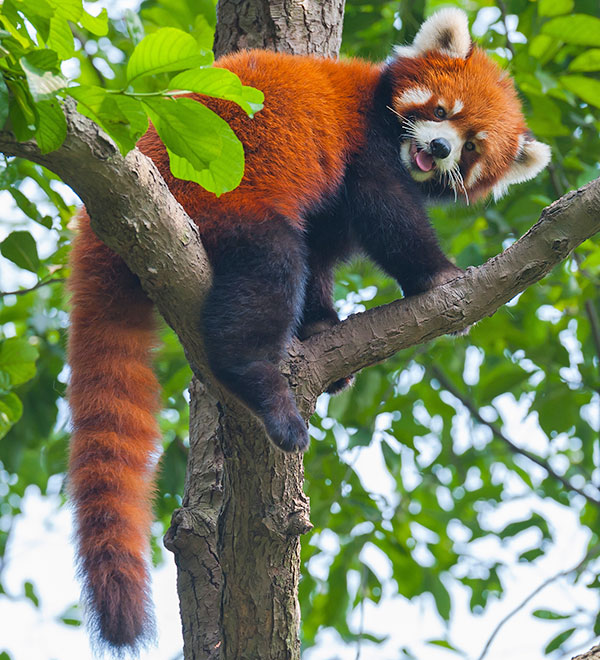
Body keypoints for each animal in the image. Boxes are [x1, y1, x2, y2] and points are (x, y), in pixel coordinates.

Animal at [68, 7, 552, 652]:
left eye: (472, 146)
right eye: (442, 111)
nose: (440, 147)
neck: (384, 114)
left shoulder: (334, 200)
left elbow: (325, 249)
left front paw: (320, 323)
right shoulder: (364, 148)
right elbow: (386, 217)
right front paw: (439, 274)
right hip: (221, 197)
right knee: (267, 275)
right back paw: (263, 390)